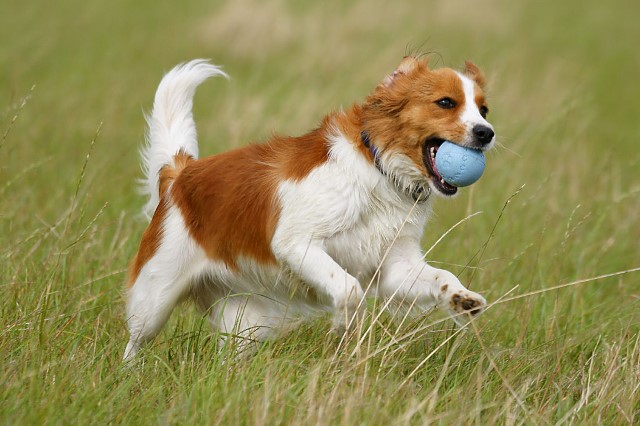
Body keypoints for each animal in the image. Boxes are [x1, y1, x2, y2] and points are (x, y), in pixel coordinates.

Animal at [124, 54, 496, 360]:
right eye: (445, 102)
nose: (486, 133)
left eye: (484, 110)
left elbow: (441, 276)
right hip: (154, 300)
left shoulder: (396, 266)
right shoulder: (296, 243)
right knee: (135, 343)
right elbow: (348, 288)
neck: (378, 170)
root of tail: (181, 174)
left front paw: (462, 298)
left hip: (245, 323)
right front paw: (345, 326)